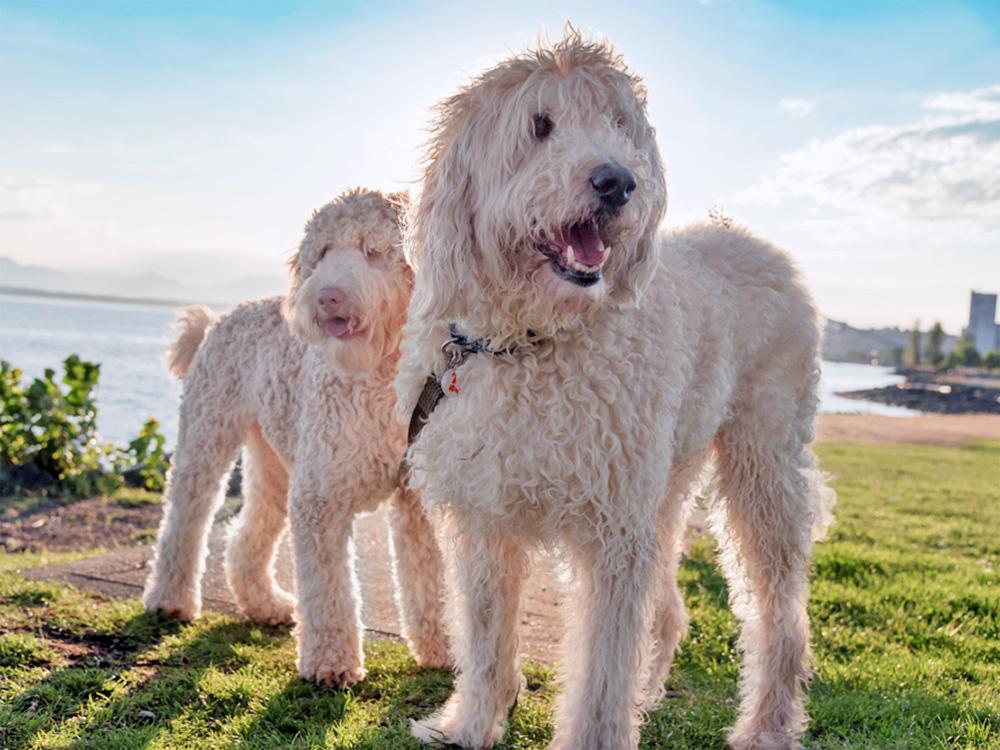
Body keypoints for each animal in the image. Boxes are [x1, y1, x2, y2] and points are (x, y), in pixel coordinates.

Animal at [144, 189, 450, 688]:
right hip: (206, 437)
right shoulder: (320, 498)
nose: (327, 297)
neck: (381, 375)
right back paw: (170, 600)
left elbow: (428, 582)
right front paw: (331, 662)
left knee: (246, 536)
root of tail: (223, 316)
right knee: (185, 520)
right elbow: (329, 590)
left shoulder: (416, 500)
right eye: (321, 254)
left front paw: (442, 650)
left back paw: (264, 605)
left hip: (273, 464)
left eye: (373, 250)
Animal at [398, 32, 836, 748]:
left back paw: (768, 723)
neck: (530, 343)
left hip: (761, 464)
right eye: (539, 126)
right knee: (667, 608)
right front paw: (470, 724)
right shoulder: (485, 520)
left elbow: (601, 673)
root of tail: (750, 239)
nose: (618, 181)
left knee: (780, 614)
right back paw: (651, 691)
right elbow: (486, 637)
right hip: (667, 478)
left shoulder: (611, 535)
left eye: (618, 127)